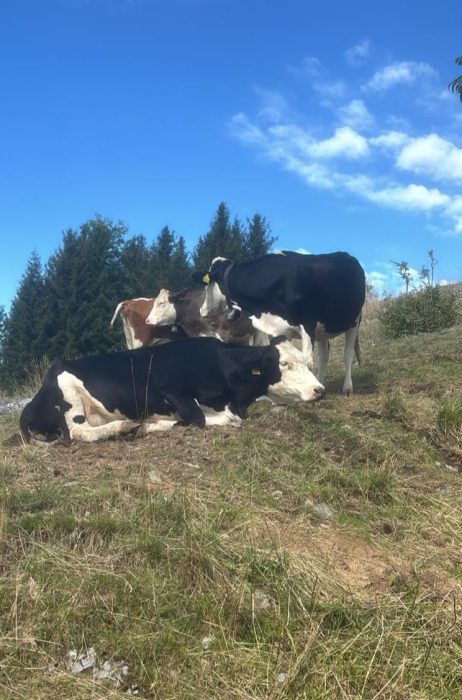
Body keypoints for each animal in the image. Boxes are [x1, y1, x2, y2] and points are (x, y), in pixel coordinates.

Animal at [19, 337, 326, 444]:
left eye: (307, 362)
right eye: (284, 364)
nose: (319, 390)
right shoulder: (173, 391)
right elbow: (200, 419)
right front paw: (155, 424)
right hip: (68, 396)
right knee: (78, 432)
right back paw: (124, 427)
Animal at [196, 251, 366, 395]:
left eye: (207, 285)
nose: (201, 310)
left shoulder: (308, 324)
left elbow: (307, 360)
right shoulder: (278, 329)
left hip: (354, 322)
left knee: (348, 354)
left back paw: (347, 388)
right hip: (322, 329)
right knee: (324, 355)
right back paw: (320, 382)